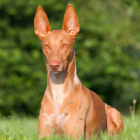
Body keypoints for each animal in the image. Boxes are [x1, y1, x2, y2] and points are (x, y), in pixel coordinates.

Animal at [34, 3, 123, 139]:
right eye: (46, 45)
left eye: (65, 45)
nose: (54, 65)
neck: (58, 90)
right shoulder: (44, 133)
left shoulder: (74, 134)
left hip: (114, 113)